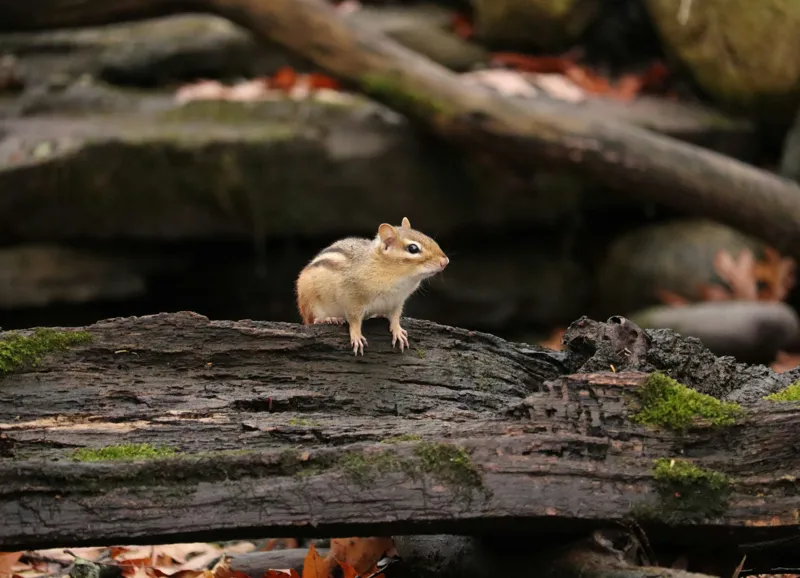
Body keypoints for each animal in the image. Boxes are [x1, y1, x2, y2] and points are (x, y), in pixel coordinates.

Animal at [295, 217, 449, 355]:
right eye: (413, 248)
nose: (445, 261)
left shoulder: (397, 301)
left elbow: (395, 316)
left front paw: (398, 330)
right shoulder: (353, 299)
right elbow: (354, 320)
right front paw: (356, 335)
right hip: (309, 299)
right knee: (313, 319)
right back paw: (329, 318)